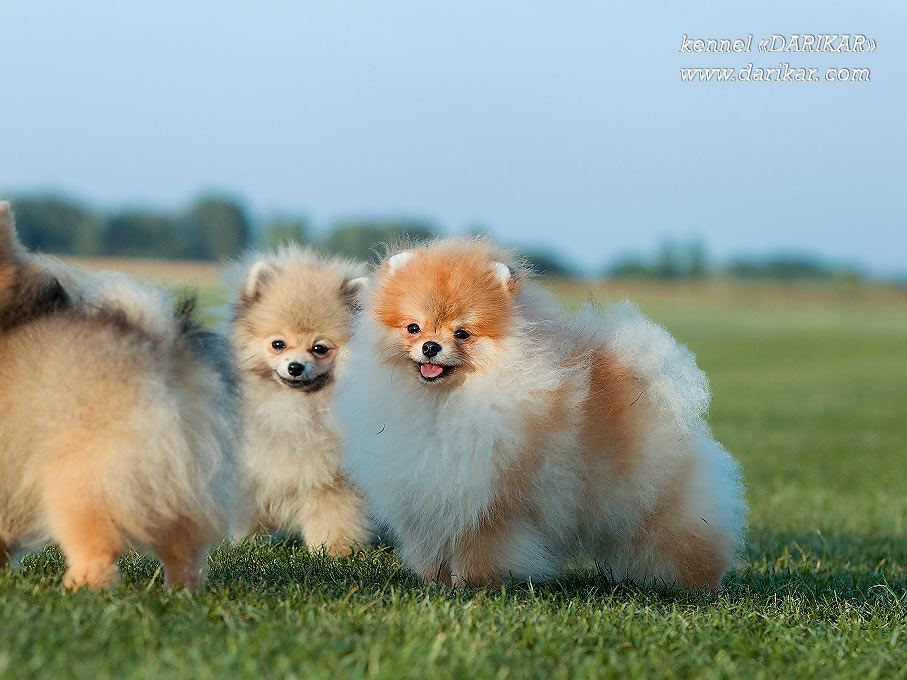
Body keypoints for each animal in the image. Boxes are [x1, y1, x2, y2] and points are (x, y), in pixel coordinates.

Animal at [0, 202, 234, 588]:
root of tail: (160, 352)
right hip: (179, 481)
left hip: (78, 479)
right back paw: (179, 590)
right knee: (185, 546)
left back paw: (79, 587)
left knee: (99, 544)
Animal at [231, 247, 372, 556]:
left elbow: (335, 516)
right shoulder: (252, 474)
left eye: (319, 348)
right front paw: (244, 545)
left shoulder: (331, 478)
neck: (294, 406)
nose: (295, 367)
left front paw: (334, 552)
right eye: (278, 344)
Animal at [336, 238, 748, 588]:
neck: (442, 405)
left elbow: (480, 550)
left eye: (463, 333)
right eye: (413, 327)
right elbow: (431, 548)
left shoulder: (491, 504)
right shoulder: (424, 496)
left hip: (663, 508)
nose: (431, 346)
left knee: (689, 540)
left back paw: (696, 586)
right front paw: (435, 583)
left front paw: (474, 586)